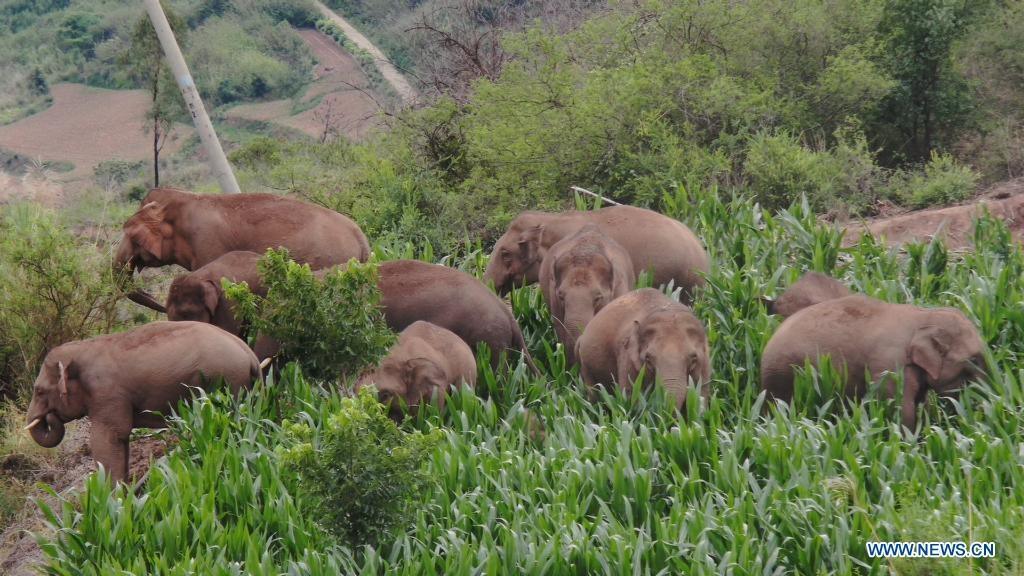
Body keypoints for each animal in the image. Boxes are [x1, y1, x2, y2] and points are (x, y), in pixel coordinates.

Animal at [25, 321, 260, 482]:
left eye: (39, 391)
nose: (49, 417)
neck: (84, 347)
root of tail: (250, 355)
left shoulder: (107, 395)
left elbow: (108, 440)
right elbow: (121, 440)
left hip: (227, 383)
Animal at [576, 288, 712, 410]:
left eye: (693, 358)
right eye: (648, 358)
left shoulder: (705, 364)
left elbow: (700, 398)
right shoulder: (626, 357)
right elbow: (631, 397)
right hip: (586, 365)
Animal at [760, 294, 988, 429]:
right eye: (973, 360)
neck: (924, 317)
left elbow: (919, 402)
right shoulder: (889, 366)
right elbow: (899, 406)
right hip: (783, 373)